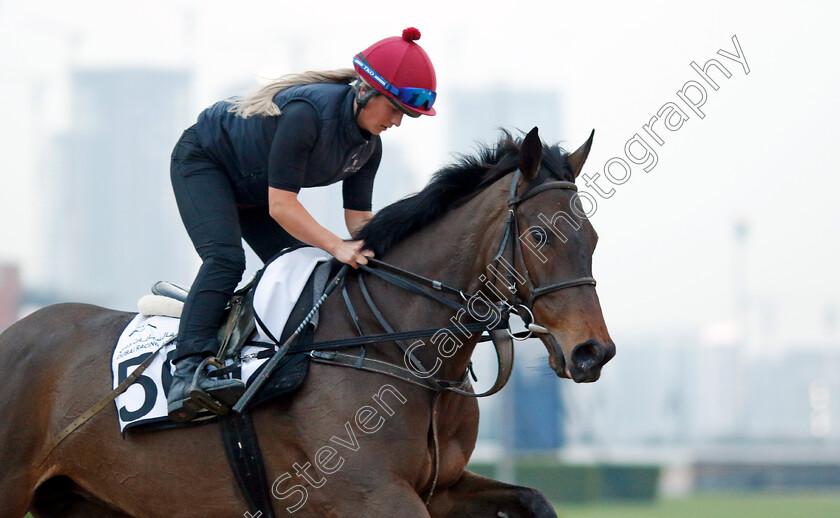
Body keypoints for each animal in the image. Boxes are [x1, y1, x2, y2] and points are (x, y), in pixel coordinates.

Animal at [0, 127, 616, 518]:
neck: (394, 350)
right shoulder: (368, 494)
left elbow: (535, 499)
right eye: (540, 235)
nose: (593, 352)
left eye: (591, 236)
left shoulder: (439, 487)